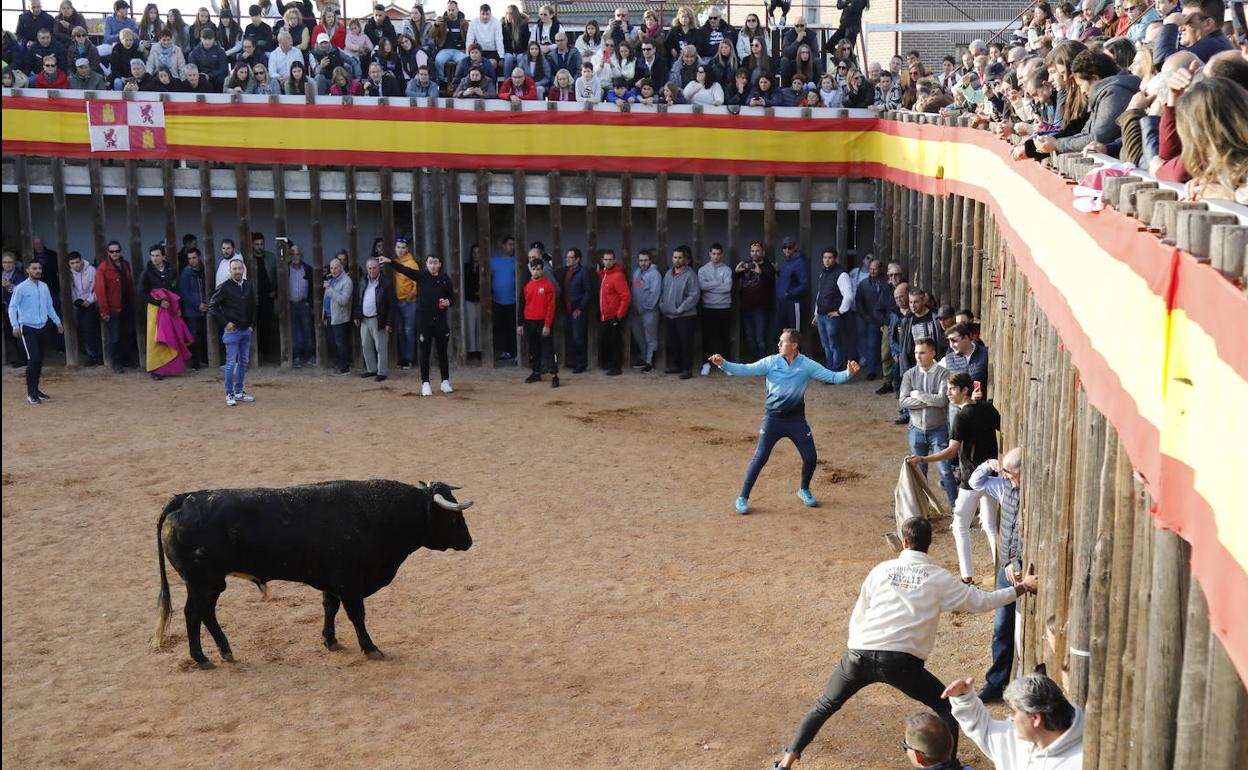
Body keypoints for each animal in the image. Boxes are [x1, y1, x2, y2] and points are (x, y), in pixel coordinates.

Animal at [149, 479, 471, 668]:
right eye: (454, 517)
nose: (469, 542)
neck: (381, 514)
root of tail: (186, 498)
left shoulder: (332, 582)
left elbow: (330, 607)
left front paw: (330, 641)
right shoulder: (350, 584)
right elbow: (357, 616)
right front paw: (370, 648)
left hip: (209, 583)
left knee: (206, 613)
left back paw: (225, 651)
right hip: (204, 582)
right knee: (194, 614)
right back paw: (202, 658)